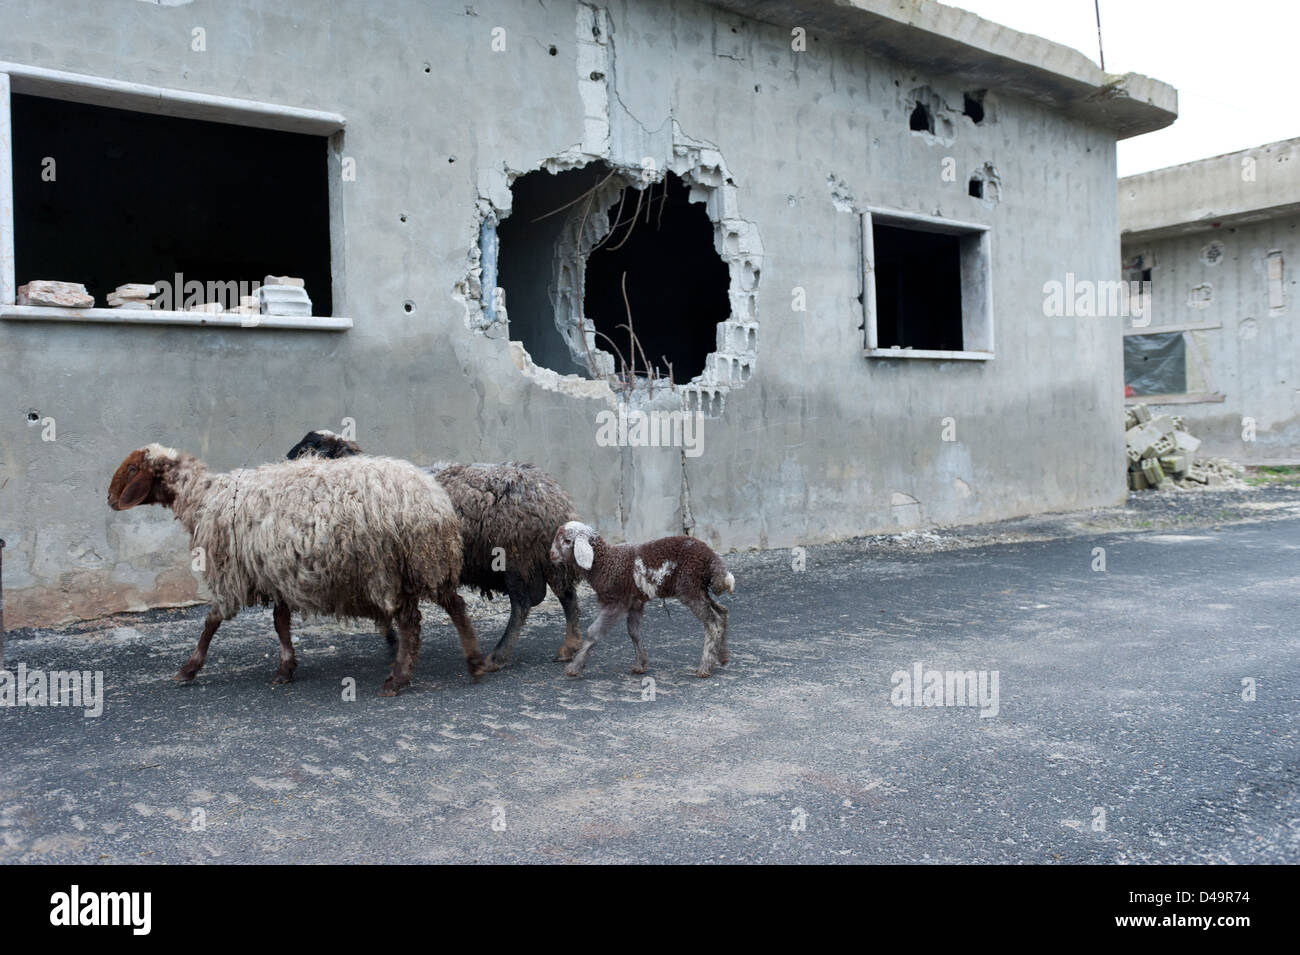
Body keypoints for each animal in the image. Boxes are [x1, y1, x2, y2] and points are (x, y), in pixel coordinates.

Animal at [107, 444, 488, 696]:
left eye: (132, 470)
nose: (109, 499)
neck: (202, 499)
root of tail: (432, 500)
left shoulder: (233, 573)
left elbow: (212, 620)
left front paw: (189, 667)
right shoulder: (275, 571)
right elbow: (280, 622)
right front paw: (286, 668)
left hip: (391, 566)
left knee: (411, 623)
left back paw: (398, 679)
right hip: (426, 561)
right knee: (455, 605)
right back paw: (474, 662)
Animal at [292, 428, 587, 670]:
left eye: (314, 451)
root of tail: (555, 499)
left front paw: (394, 645)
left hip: (514, 557)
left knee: (524, 603)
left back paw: (499, 656)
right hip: (544, 559)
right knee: (565, 595)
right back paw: (569, 648)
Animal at [546, 522, 738, 680]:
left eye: (567, 540)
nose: (551, 555)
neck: (604, 562)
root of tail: (711, 558)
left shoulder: (616, 602)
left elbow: (594, 632)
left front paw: (574, 667)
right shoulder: (634, 603)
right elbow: (634, 632)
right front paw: (640, 664)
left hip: (689, 588)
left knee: (712, 622)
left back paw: (705, 667)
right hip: (699, 589)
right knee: (722, 612)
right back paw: (722, 656)